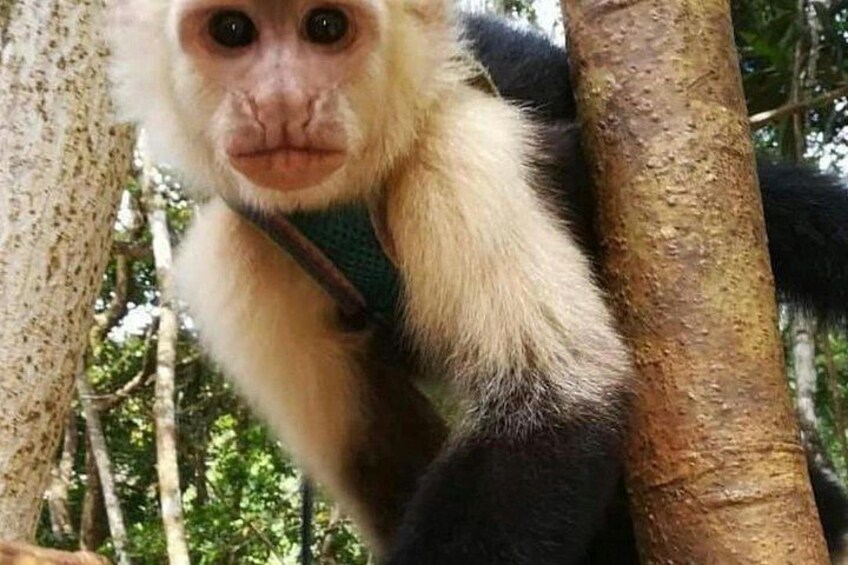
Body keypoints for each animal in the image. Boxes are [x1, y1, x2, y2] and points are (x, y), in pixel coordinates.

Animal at [106, 3, 848, 563]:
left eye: (326, 26)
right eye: (232, 29)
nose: (282, 102)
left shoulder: (460, 152)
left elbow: (557, 405)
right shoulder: (238, 256)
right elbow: (382, 462)